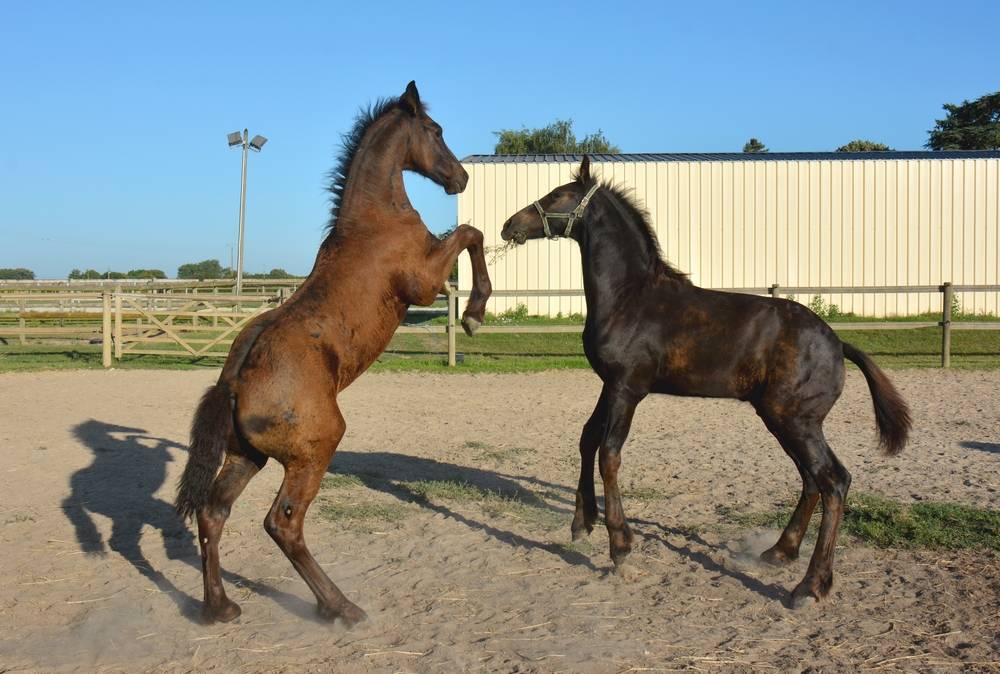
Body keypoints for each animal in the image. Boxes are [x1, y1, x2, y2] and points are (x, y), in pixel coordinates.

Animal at [175, 81, 492, 626]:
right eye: (435, 131)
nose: (461, 177)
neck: (374, 221)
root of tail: (233, 383)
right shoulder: (425, 283)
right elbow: (472, 233)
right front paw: (474, 312)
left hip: (247, 457)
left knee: (214, 513)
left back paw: (220, 607)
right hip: (314, 451)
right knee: (282, 523)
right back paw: (339, 606)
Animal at [500, 155, 910, 608]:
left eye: (558, 195)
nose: (509, 225)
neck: (630, 298)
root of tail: (837, 342)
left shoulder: (628, 388)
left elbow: (609, 454)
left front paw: (620, 548)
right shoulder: (609, 385)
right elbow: (587, 439)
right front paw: (581, 523)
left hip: (795, 421)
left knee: (834, 480)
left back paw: (809, 586)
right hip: (783, 420)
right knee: (811, 481)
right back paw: (778, 553)